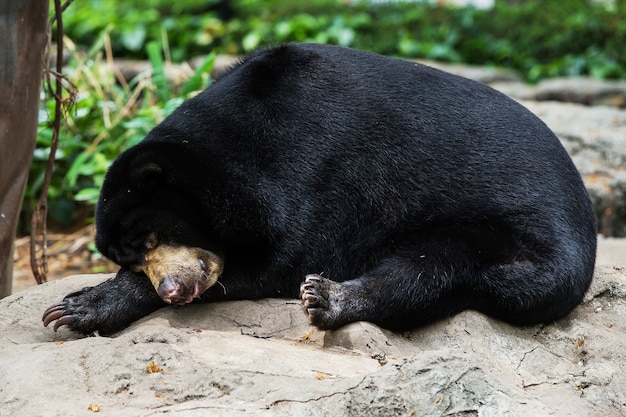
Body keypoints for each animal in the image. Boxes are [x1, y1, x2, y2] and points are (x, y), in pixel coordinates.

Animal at [42, 43, 596, 334]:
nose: (172, 289)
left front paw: (77, 306)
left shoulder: (325, 167)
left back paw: (328, 298)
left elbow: (285, 258)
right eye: (134, 256)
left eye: (151, 239)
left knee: (436, 269)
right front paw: (75, 305)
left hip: (515, 242)